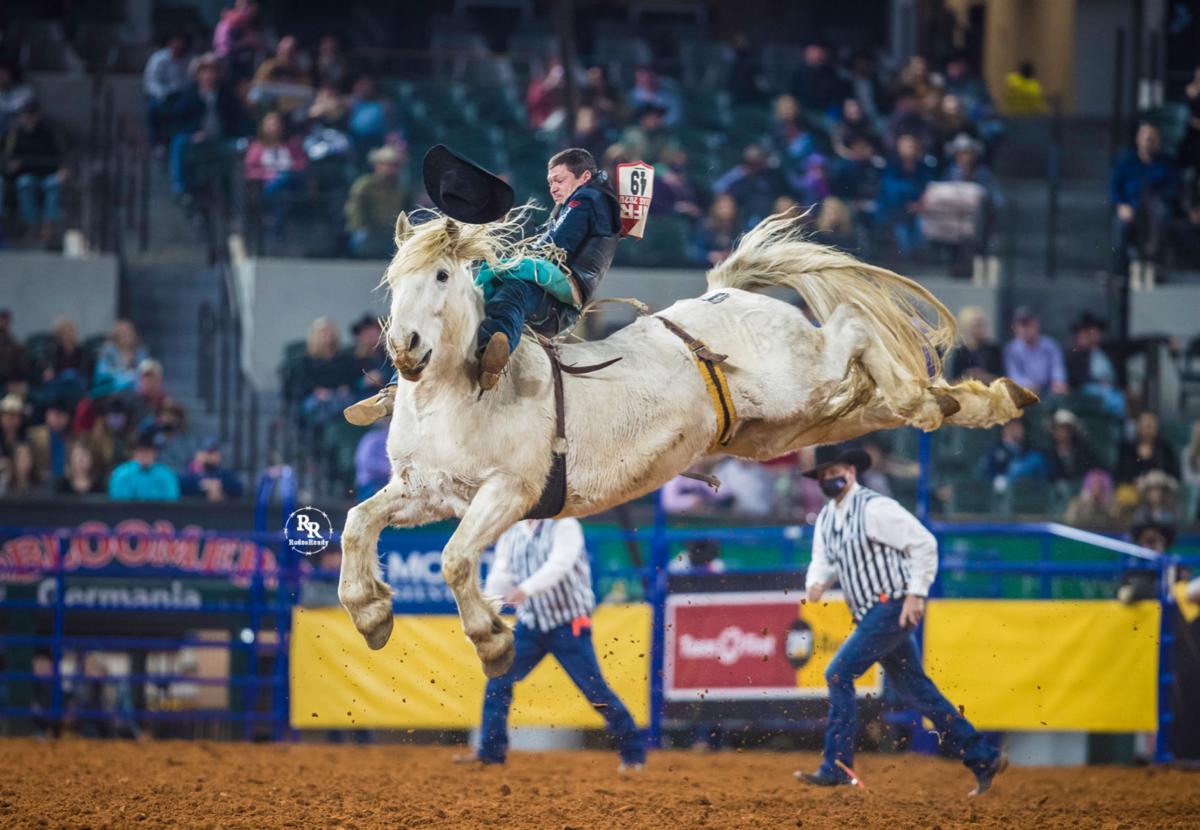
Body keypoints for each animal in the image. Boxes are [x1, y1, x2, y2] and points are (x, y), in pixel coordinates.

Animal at [340, 206, 1041, 676]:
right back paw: (971, 400)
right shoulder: (426, 490)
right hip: (790, 424)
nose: (404, 347)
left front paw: (491, 640)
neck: (455, 394)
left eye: (440, 275)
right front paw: (370, 613)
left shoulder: (508, 492)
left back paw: (938, 397)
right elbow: (357, 524)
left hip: (802, 380)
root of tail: (726, 291)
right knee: (870, 399)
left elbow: (456, 559)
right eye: (393, 280)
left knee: (853, 328)